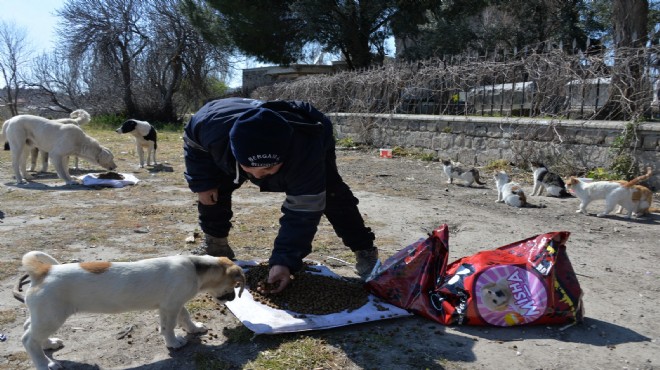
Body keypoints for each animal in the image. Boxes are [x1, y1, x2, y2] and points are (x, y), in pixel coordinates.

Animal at [22, 251, 248, 370]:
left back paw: (49, 344)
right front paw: (174, 343)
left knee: (28, 329)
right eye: (235, 284)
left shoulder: (175, 303)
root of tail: (43, 271)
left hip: (43, 315)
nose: (231, 298)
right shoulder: (170, 307)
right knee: (28, 340)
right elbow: (169, 327)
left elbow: (185, 317)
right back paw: (44, 364)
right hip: (52, 316)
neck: (195, 269)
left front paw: (194, 329)